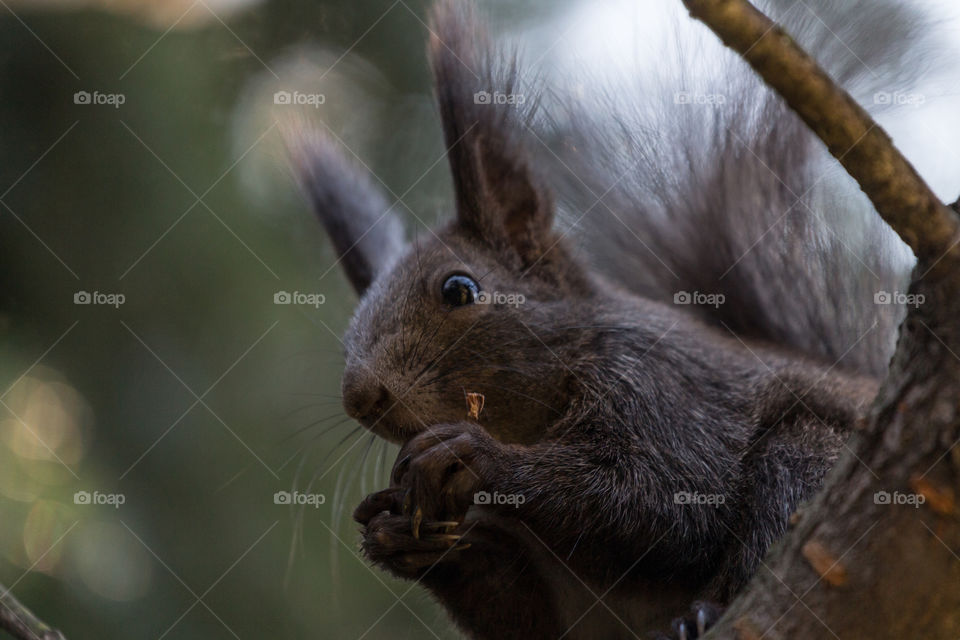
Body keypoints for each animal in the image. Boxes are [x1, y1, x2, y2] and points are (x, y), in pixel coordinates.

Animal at [282, 0, 928, 636]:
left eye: (459, 290)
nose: (360, 396)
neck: (532, 417)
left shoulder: (665, 391)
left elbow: (664, 502)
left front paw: (475, 455)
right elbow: (523, 612)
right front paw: (401, 535)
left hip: (815, 456)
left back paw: (704, 613)